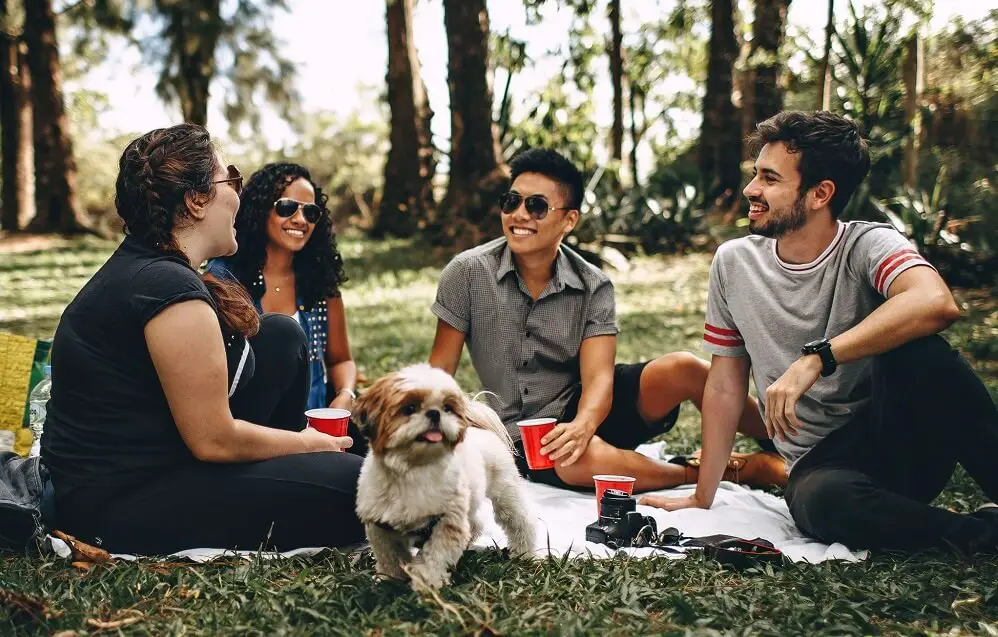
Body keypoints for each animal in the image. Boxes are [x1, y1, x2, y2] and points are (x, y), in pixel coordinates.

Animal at [354, 366, 536, 588]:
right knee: (475, 524)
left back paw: (525, 553)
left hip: (505, 492)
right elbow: (390, 557)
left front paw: (426, 582)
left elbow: (435, 557)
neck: (414, 469)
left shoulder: (447, 523)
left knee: (521, 522)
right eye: (409, 408)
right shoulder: (381, 527)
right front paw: (390, 580)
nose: (434, 413)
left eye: (447, 407)